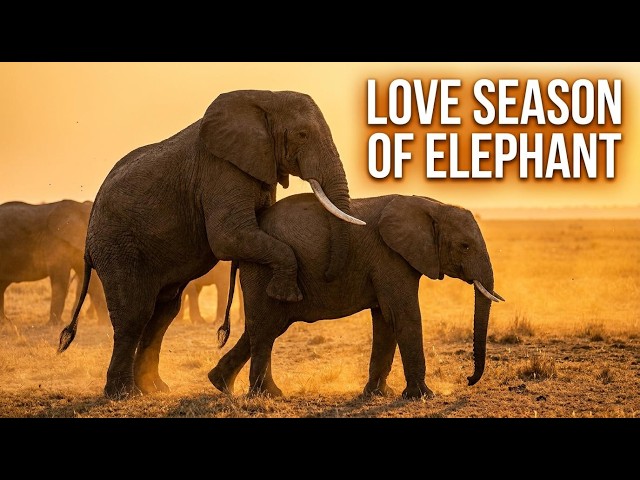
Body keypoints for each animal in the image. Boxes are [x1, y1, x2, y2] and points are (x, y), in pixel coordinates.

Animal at [57, 90, 365, 400]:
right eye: (302, 134)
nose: (329, 274)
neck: (263, 97)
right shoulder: (221, 170)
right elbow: (229, 237)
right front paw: (285, 293)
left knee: (163, 312)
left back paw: (154, 389)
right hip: (116, 245)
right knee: (135, 313)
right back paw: (124, 394)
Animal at [209, 193, 504, 399]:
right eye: (465, 246)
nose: (468, 380)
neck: (432, 205)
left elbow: (386, 320)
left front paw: (377, 394)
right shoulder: (389, 257)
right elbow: (403, 315)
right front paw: (422, 396)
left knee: (264, 329)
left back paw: (221, 385)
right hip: (263, 270)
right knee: (264, 329)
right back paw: (267, 395)